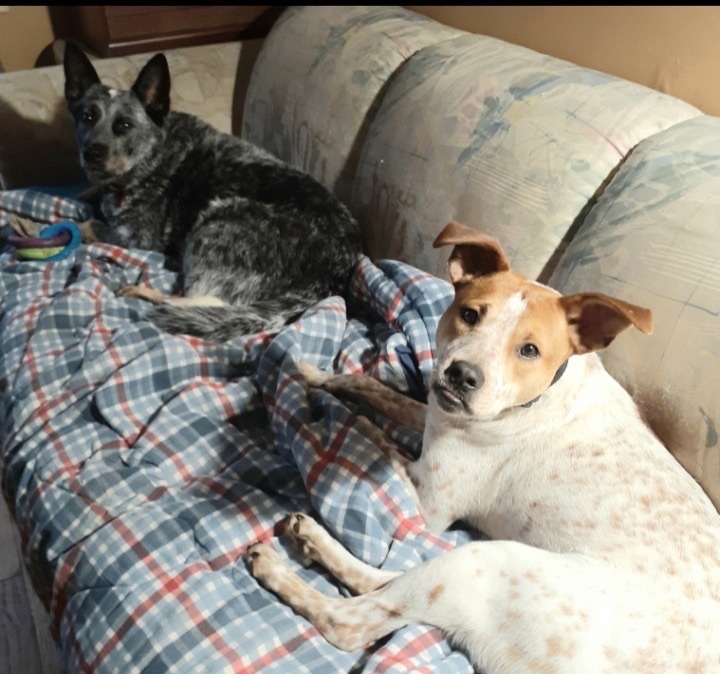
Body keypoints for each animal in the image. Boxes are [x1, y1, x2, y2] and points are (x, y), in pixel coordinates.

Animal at [63, 43, 362, 341]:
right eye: (87, 117)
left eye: (124, 125)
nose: (91, 153)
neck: (152, 155)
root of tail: (326, 278)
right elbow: (84, 197)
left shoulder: (138, 238)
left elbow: (89, 224)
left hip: (215, 222)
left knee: (192, 300)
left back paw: (142, 291)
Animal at [245, 221, 720, 673]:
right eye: (470, 314)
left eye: (529, 350)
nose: (462, 376)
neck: (535, 399)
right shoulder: (437, 415)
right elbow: (373, 387)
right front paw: (316, 375)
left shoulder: (431, 503)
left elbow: (379, 440)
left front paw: (350, 417)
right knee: (384, 582)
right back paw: (310, 538)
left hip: (482, 564)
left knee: (352, 620)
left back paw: (277, 565)